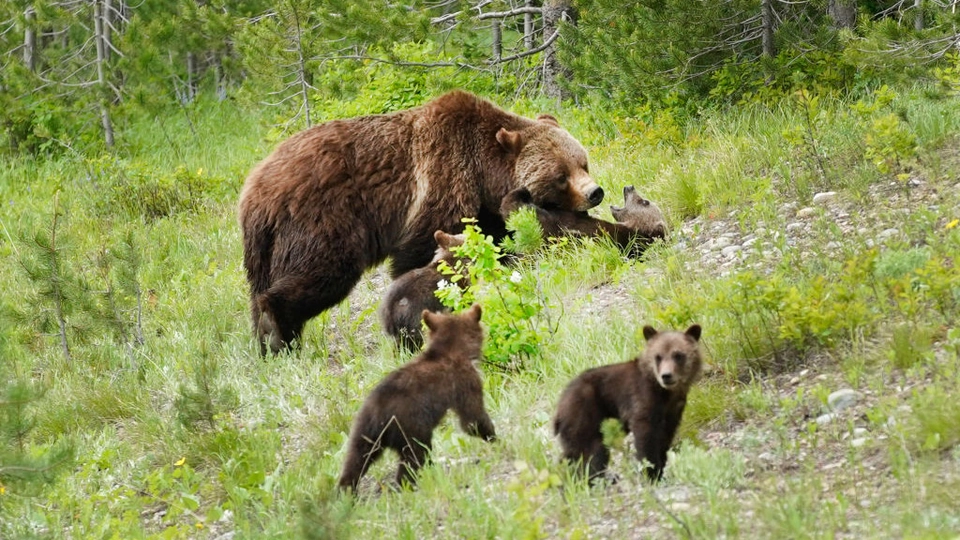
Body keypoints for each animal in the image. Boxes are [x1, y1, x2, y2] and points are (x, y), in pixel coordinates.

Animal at [239, 90, 603, 355]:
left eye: (583, 162)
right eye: (561, 176)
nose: (595, 193)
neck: (485, 171)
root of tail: (253, 193)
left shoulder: (485, 206)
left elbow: (493, 238)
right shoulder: (442, 181)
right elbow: (422, 247)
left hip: (265, 249)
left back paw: (266, 341)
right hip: (321, 219)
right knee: (321, 272)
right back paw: (279, 335)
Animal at [338, 304, 496, 492]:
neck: (451, 351)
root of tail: (378, 416)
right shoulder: (465, 382)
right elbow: (472, 419)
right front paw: (494, 438)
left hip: (362, 431)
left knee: (355, 460)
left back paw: (346, 491)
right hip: (411, 428)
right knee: (414, 456)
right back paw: (409, 484)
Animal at [553, 324, 702, 483]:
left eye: (678, 355)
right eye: (658, 356)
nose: (666, 376)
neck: (665, 393)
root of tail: (559, 405)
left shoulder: (673, 410)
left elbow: (665, 437)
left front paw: (661, 469)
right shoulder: (642, 400)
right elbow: (646, 437)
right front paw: (651, 472)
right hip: (584, 416)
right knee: (591, 451)